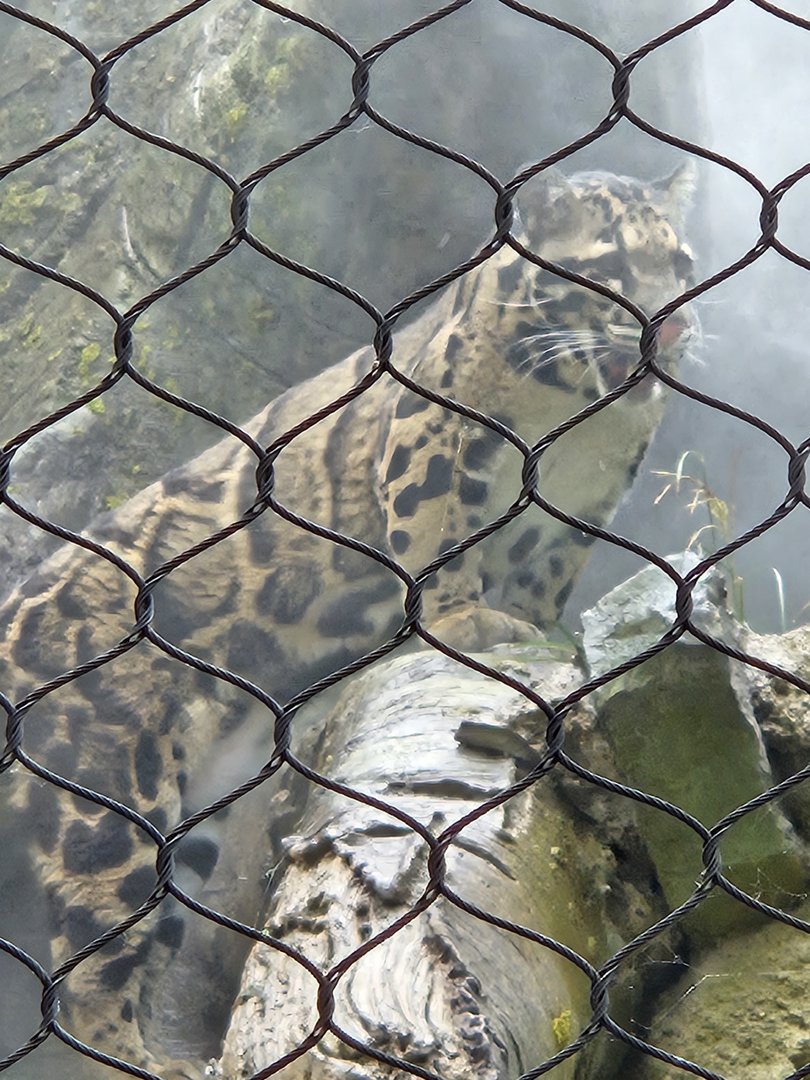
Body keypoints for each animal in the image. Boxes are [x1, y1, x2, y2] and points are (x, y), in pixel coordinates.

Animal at [0, 165, 696, 1078]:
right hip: (106, 795)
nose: (673, 322)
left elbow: (540, 583)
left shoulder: (573, 519)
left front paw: (528, 626)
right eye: (610, 265)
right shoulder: (432, 432)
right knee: (87, 974)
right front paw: (466, 618)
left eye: (680, 263)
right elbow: (438, 538)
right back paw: (145, 1057)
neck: (584, 406)